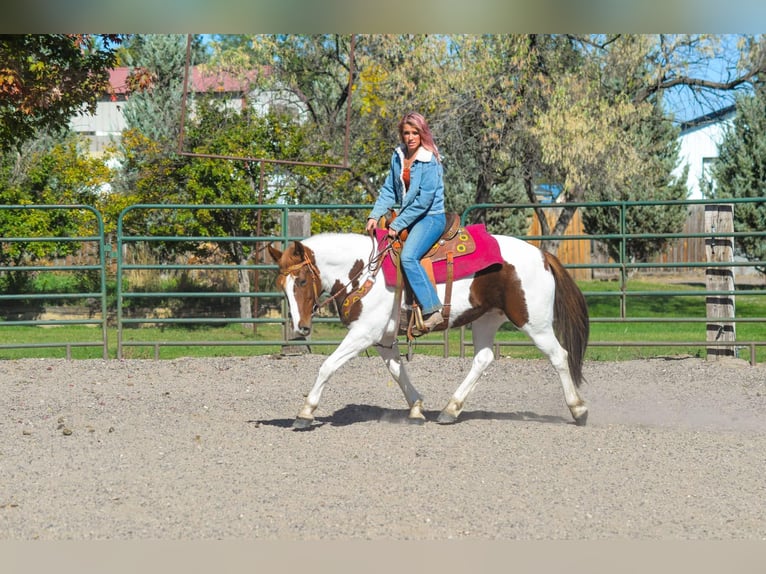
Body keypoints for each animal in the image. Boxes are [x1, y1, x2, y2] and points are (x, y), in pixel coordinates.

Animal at [268, 231, 592, 432]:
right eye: (281, 284)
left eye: (300, 281)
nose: (300, 327)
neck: (363, 271)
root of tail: (542, 255)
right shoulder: (383, 339)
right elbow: (398, 373)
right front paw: (416, 408)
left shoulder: (363, 334)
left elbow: (327, 366)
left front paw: (305, 412)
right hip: (486, 319)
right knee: (483, 359)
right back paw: (450, 409)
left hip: (534, 323)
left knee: (559, 356)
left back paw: (579, 410)